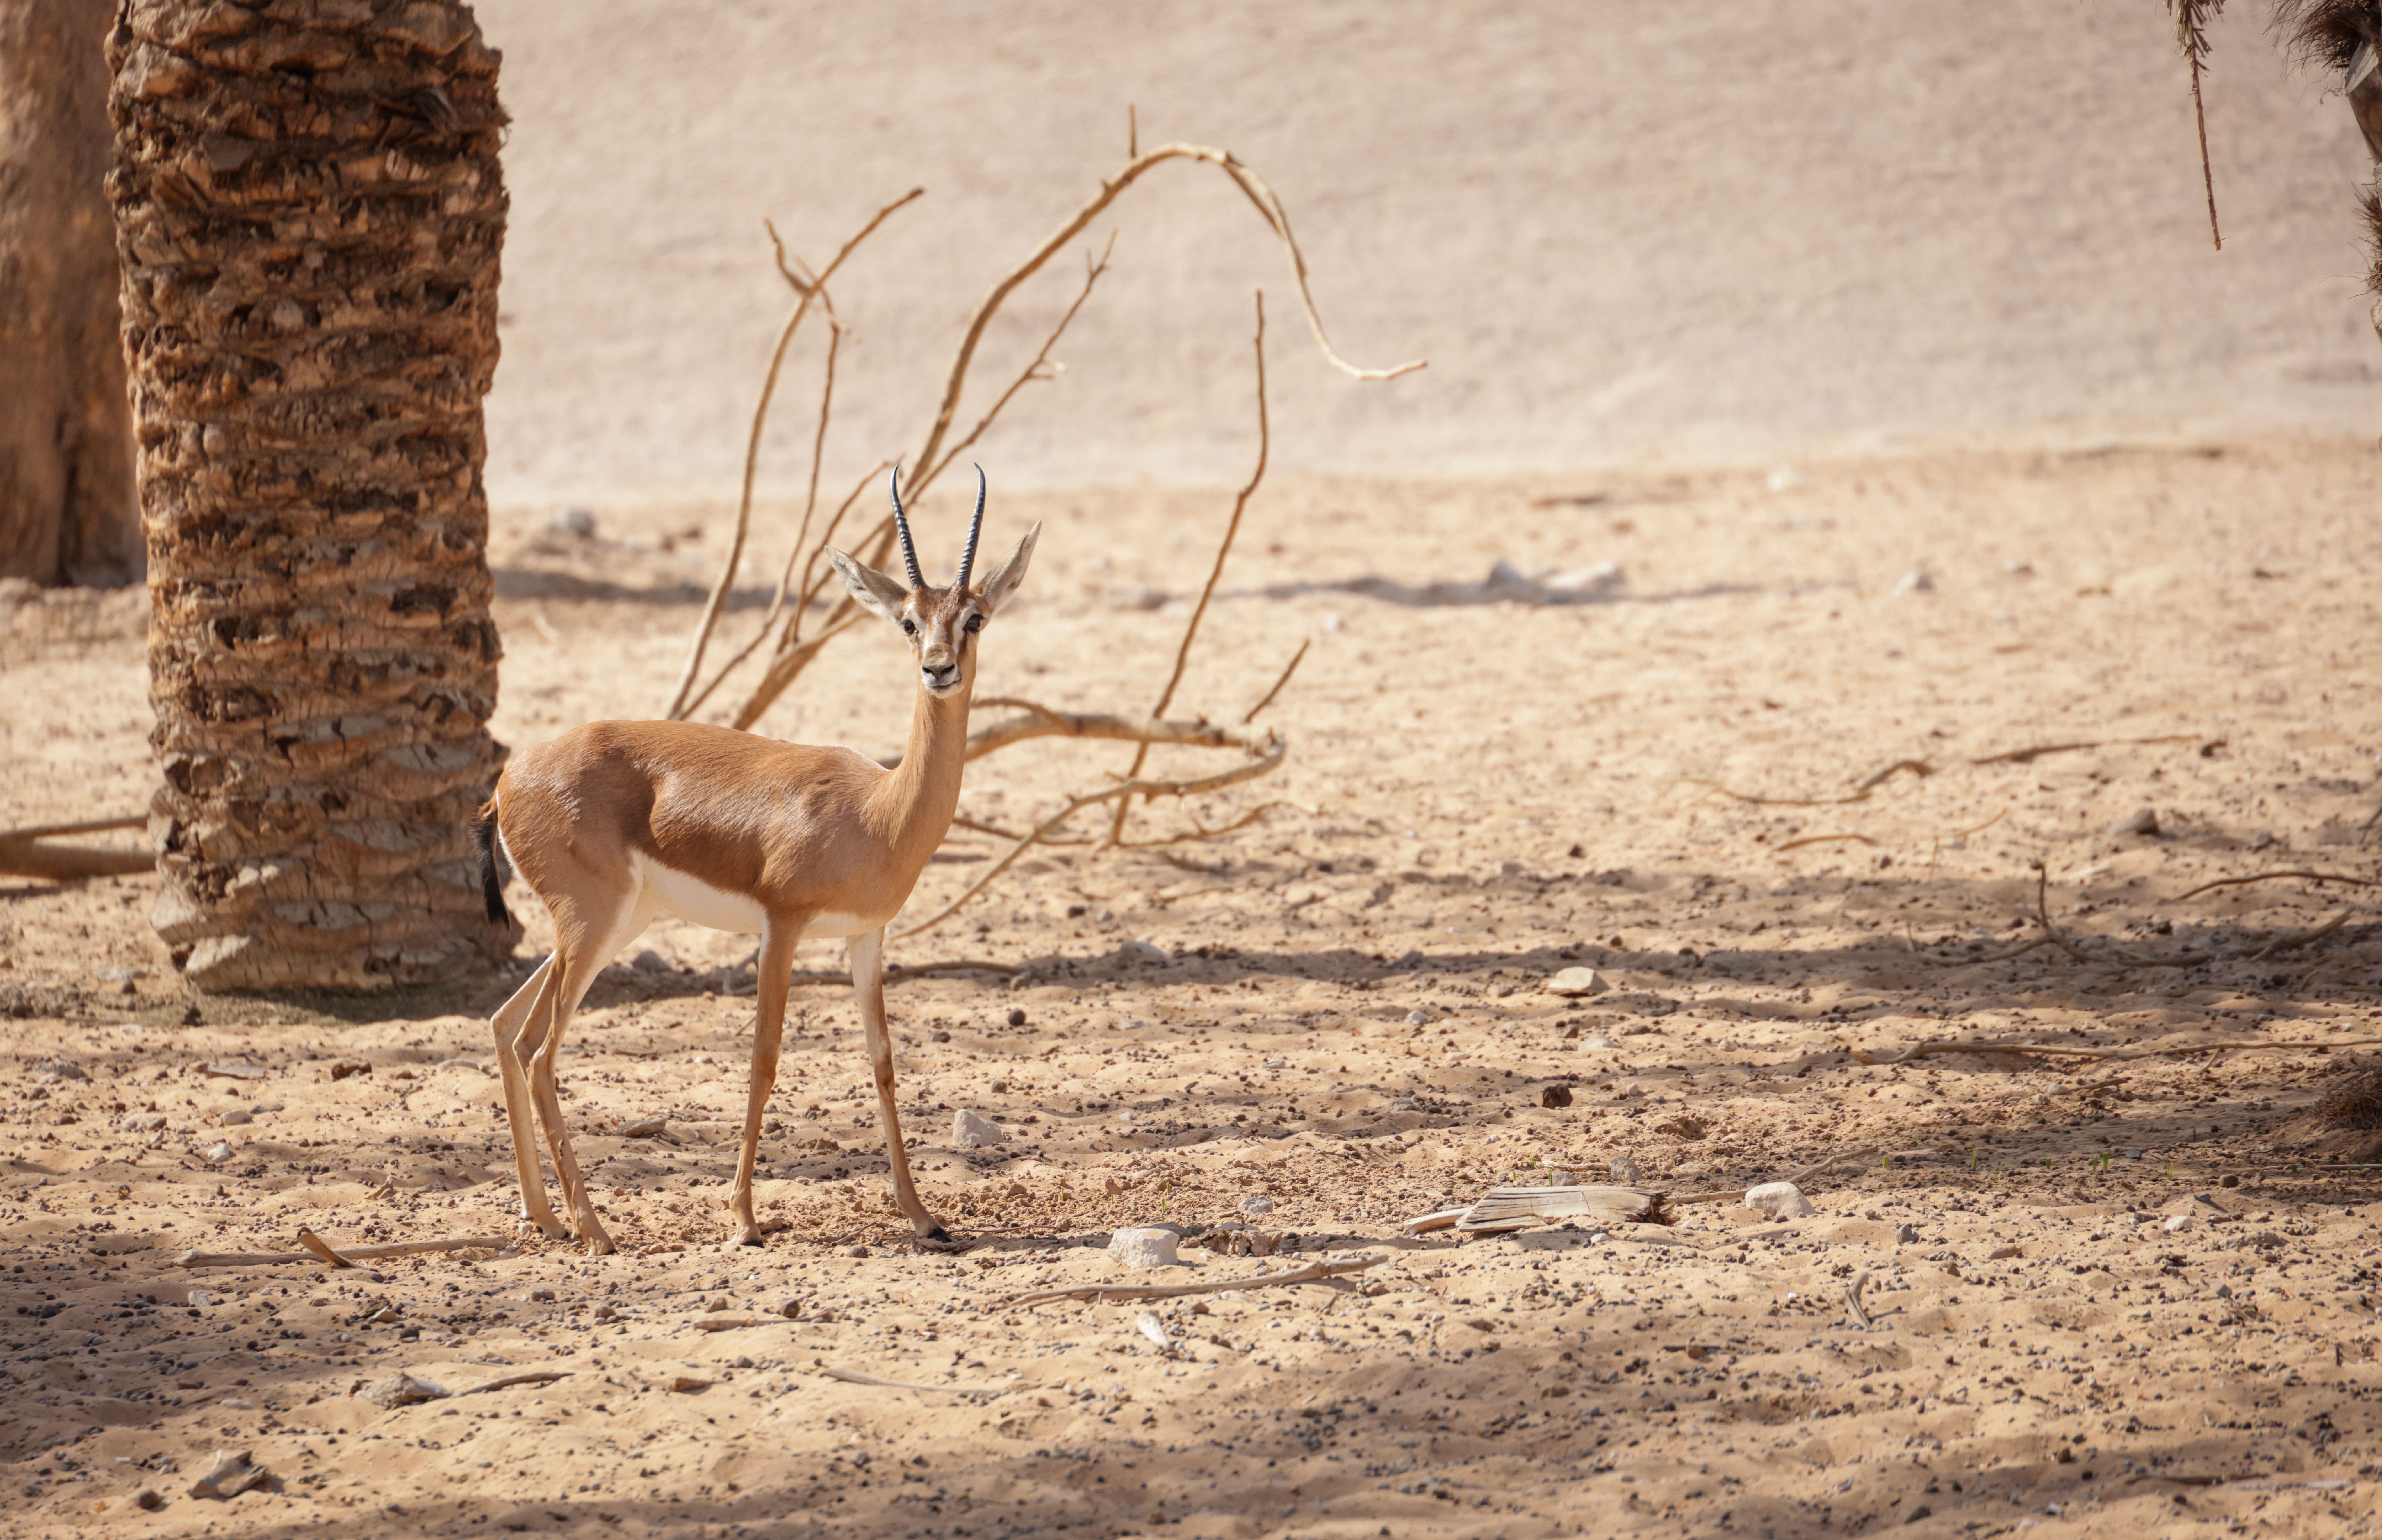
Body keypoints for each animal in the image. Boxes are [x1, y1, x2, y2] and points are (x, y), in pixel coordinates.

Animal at [473, 467, 1036, 1253]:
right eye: (908, 620)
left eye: (975, 617)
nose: (939, 668)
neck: (878, 812)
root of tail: (505, 783)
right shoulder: (783, 925)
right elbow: (765, 1056)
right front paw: (742, 1218)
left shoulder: (867, 935)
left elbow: (883, 1060)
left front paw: (923, 1213)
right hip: (590, 927)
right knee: (540, 1052)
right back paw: (595, 1229)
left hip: (607, 926)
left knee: (505, 1026)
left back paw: (546, 1215)